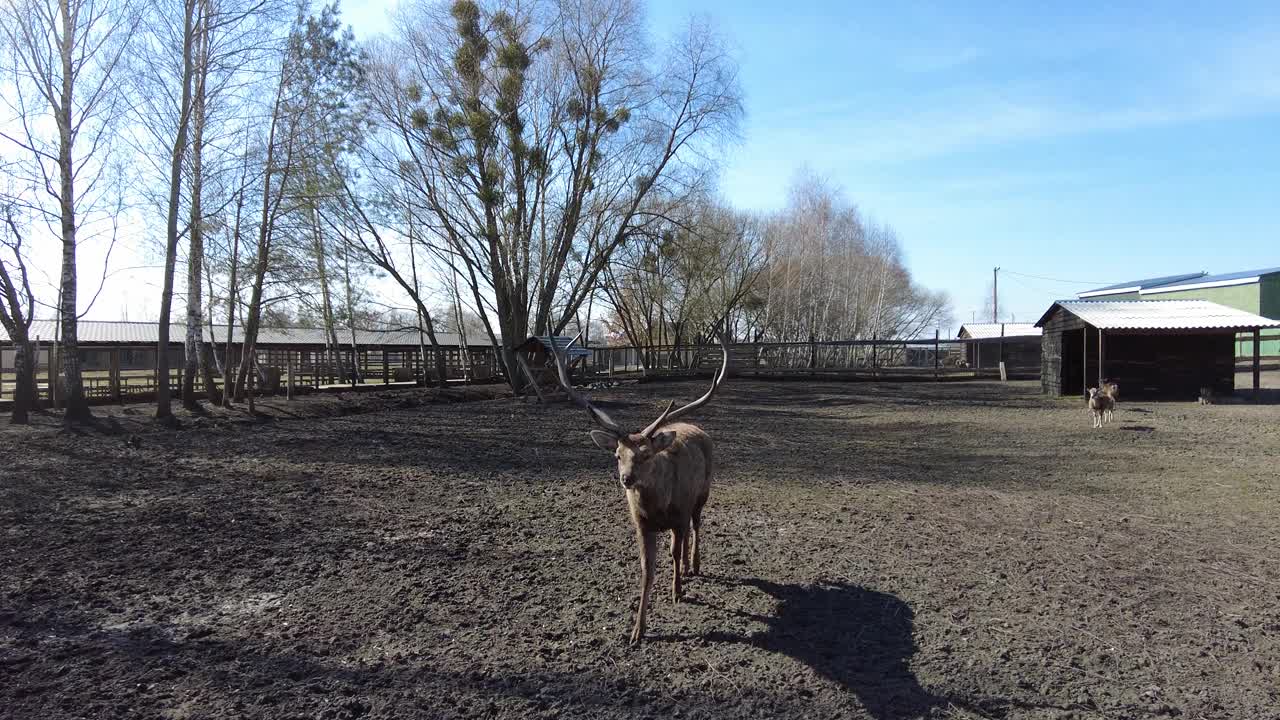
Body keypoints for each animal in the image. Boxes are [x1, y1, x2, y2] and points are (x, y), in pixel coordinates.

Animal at [552, 327, 732, 640]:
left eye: (646, 455)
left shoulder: (680, 512)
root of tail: (696, 428)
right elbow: (647, 568)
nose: (627, 479)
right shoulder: (641, 523)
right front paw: (637, 629)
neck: (658, 508)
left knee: (697, 526)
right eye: (617, 454)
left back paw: (694, 565)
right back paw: (686, 568)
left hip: (703, 492)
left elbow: (674, 552)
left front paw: (677, 592)